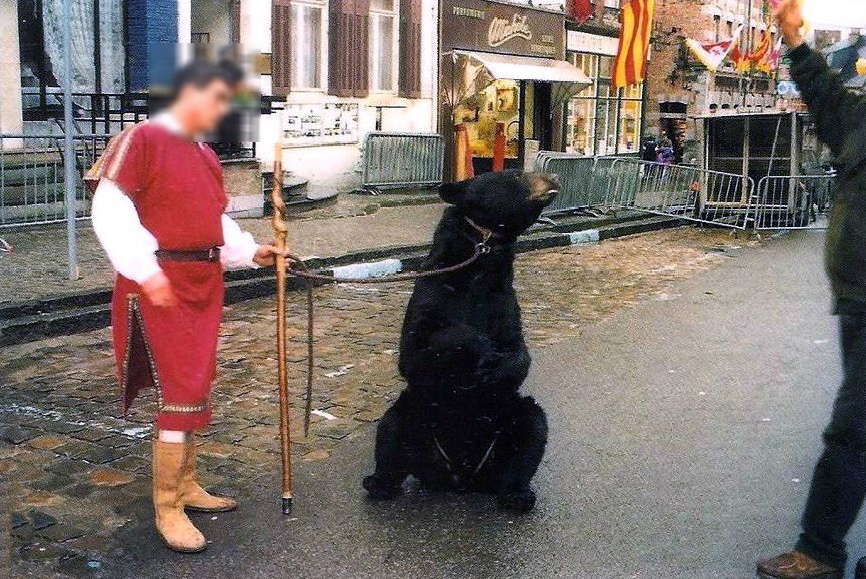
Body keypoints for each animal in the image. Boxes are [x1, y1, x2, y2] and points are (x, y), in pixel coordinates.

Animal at [362, 170, 556, 516]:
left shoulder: (502, 299)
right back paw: (379, 483)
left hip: (511, 421)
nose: (554, 176)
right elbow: (416, 349)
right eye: (517, 174)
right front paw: (481, 347)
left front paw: (495, 365)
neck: (480, 264)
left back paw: (517, 494)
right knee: (390, 429)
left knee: (532, 430)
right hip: (414, 414)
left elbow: (518, 350)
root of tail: (461, 478)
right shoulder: (434, 290)